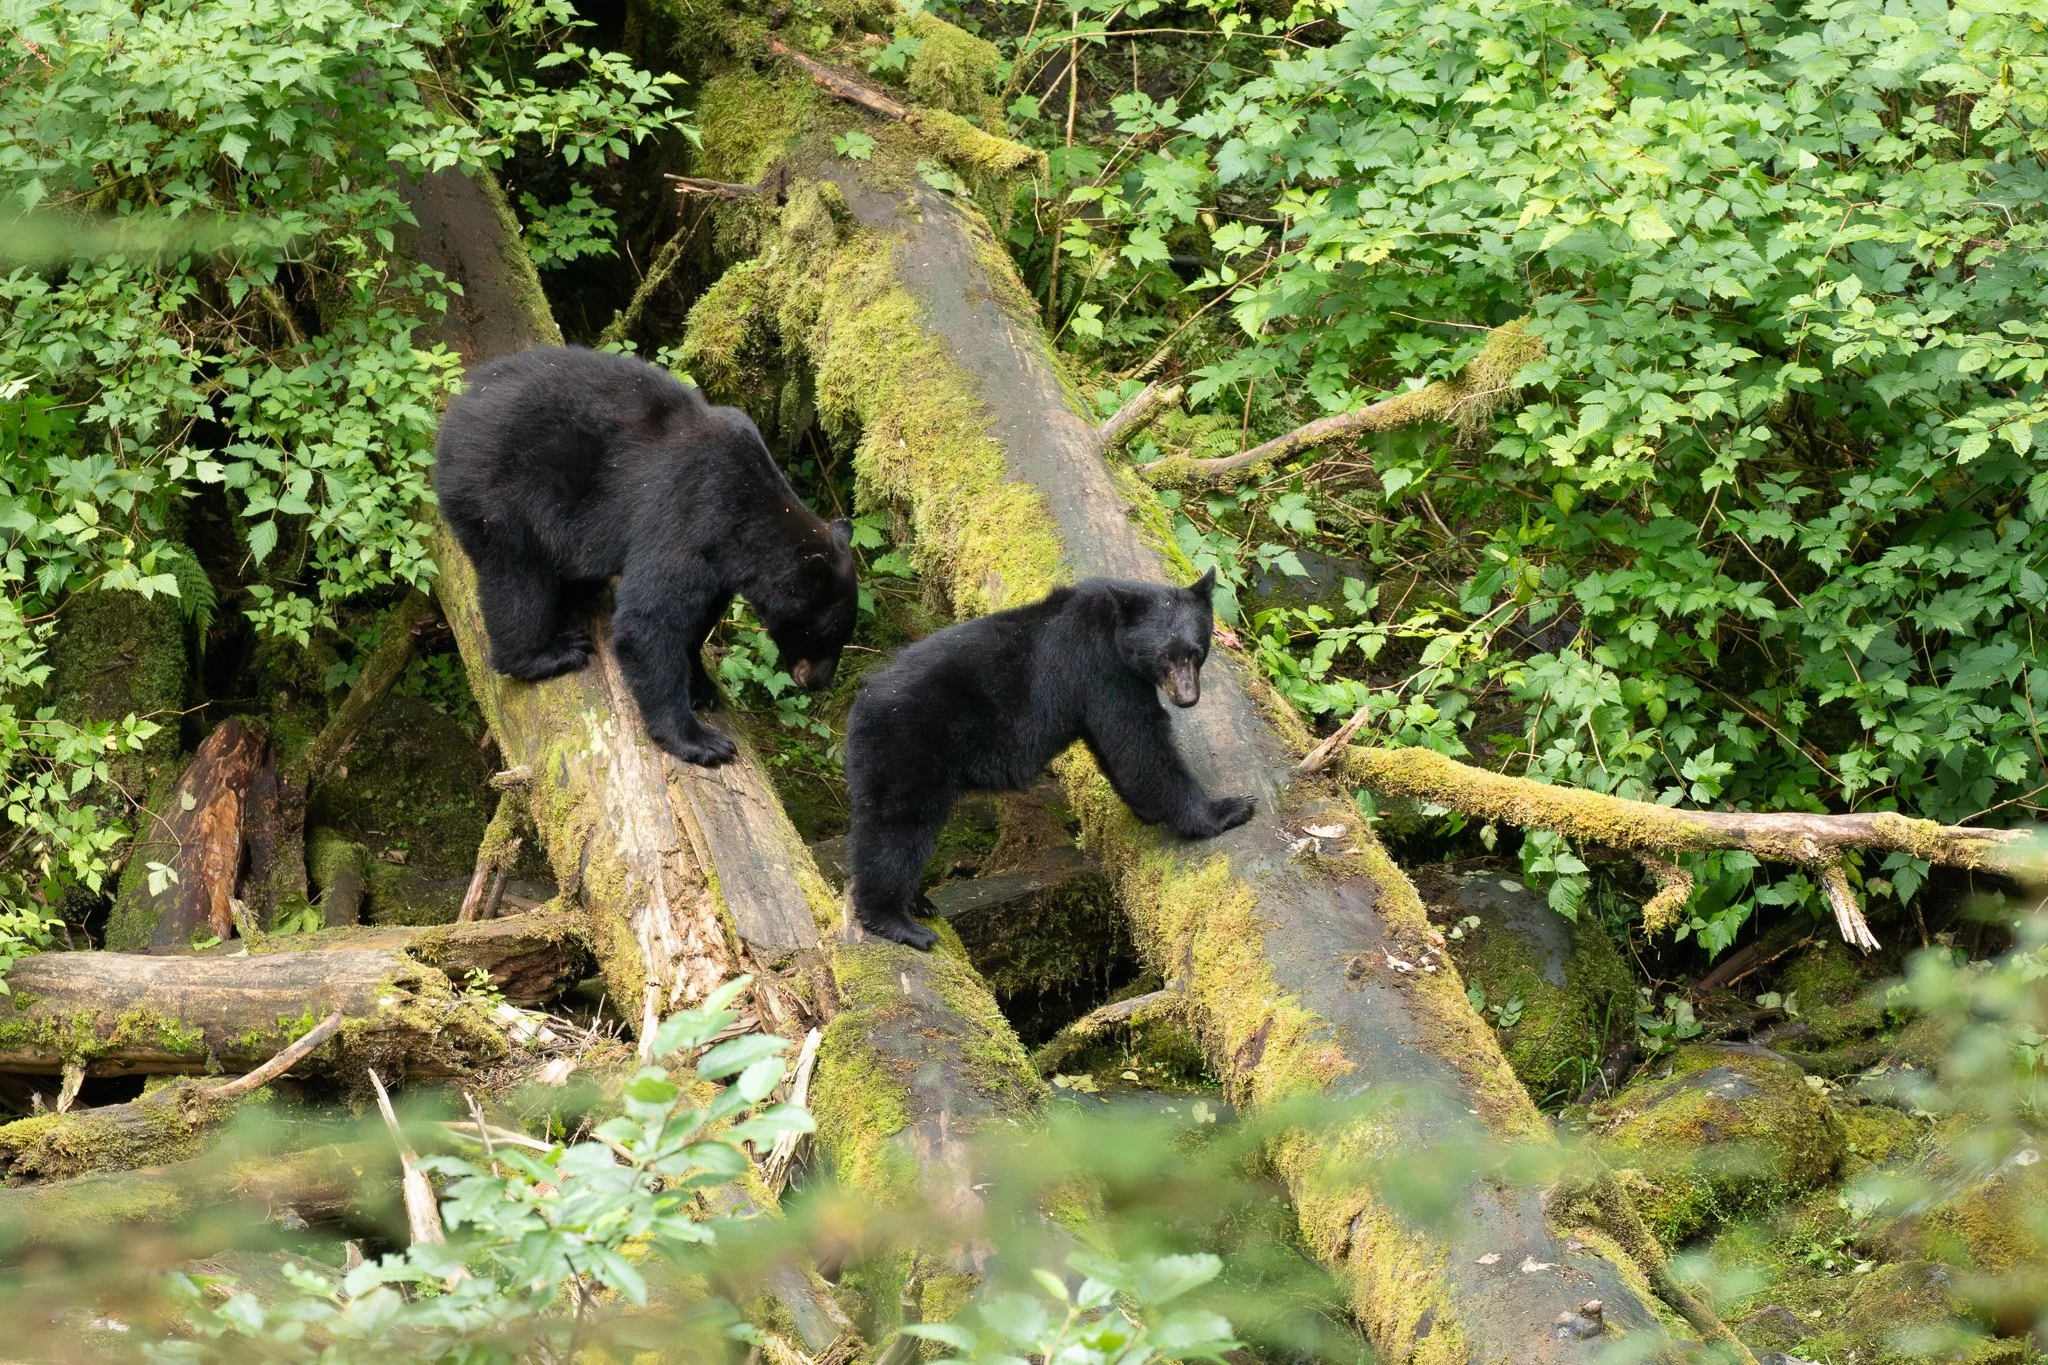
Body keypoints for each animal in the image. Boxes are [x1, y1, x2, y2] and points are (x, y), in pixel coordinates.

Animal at [434, 346, 858, 768]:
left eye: (842, 633)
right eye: (828, 631)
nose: (821, 682)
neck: (751, 518)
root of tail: (459, 407)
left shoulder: (719, 564)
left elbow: (695, 619)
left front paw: (699, 684)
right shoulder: (690, 512)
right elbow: (650, 620)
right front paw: (700, 740)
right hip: (501, 490)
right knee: (516, 582)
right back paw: (547, 653)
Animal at [843, 570, 1255, 949]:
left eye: (1195, 652)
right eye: (1165, 656)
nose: (1187, 697)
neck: (1112, 627)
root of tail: (860, 706)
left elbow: (1118, 752)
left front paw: (1149, 810)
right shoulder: (1101, 671)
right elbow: (1139, 743)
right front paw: (1227, 810)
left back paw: (918, 901)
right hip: (908, 748)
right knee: (896, 829)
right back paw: (899, 921)